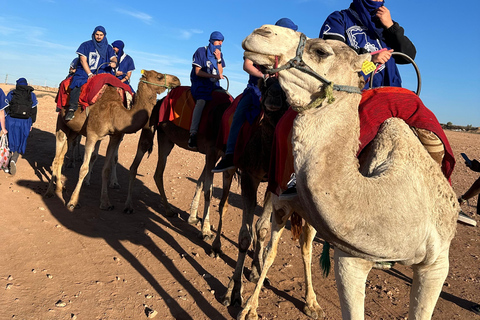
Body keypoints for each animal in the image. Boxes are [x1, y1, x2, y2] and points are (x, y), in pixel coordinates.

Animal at [45, 70, 181, 210]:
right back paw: (50, 192)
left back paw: (60, 188)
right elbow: (84, 168)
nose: (177, 80)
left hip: (73, 131)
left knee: (61, 156)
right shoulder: (92, 134)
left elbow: (106, 169)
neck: (114, 112)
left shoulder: (115, 137)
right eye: (159, 77)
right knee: (56, 157)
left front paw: (105, 202)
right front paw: (73, 202)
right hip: (61, 123)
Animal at [238, 24, 460, 320]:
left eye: (321, 51)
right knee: (270, 240)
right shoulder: (349, 260)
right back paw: (250, 305)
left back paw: (310, 302)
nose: (260, 32)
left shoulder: (436, 264)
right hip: (280, 195)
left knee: (305, 242)